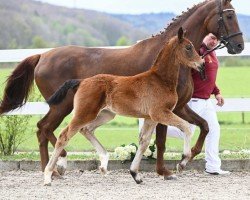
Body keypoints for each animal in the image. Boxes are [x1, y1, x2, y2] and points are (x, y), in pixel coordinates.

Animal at [43, 28, 203, 186]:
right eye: (188, 47)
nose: (201, 64)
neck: (160, 80)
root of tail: (81, 81)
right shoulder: (161, 113)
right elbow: (186, 127)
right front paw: (182, 162)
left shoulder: (151, 118)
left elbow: (144, 142)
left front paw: (135, 175)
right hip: (84, 113)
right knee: (64, 136)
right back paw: (48, 176)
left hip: (106, 114)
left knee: (86, 129)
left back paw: (103, 163)